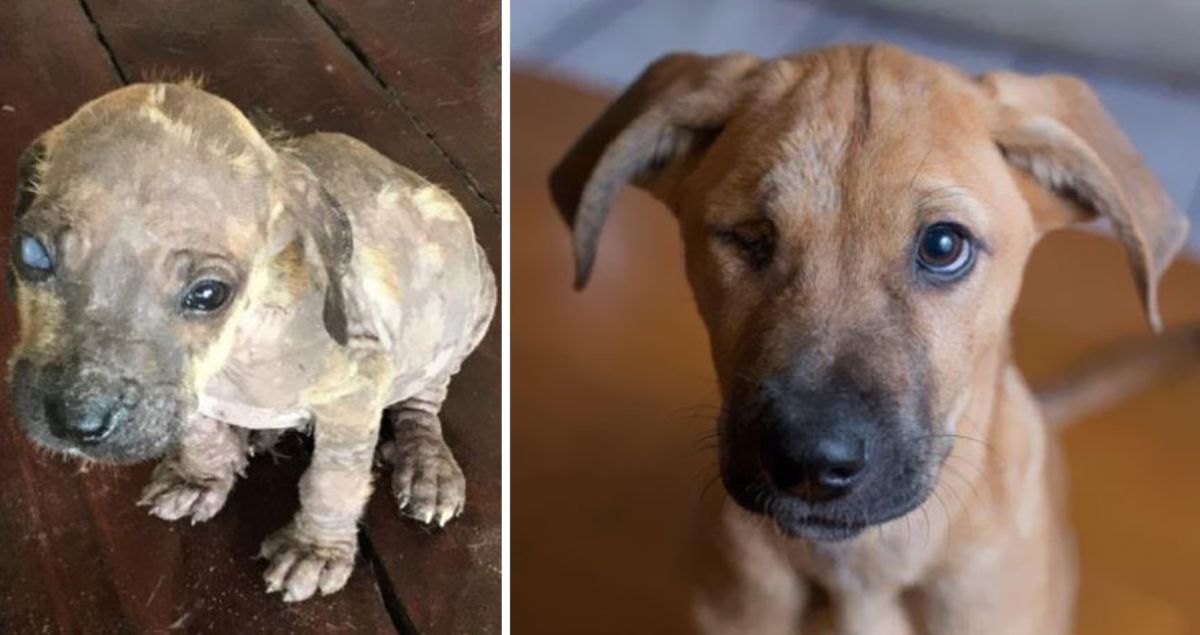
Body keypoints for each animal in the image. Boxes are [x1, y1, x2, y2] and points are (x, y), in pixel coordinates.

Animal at [7, 81, 494, 602]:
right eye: (30, 253)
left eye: (208, 293)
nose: (76, 423)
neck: (236, 350)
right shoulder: (193, 390)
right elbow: (201, 431)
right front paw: (201, 477)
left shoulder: (357, 387)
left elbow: (333, 481)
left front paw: (315, 549)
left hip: (471, 311)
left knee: (422, 403)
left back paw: (426, 465)